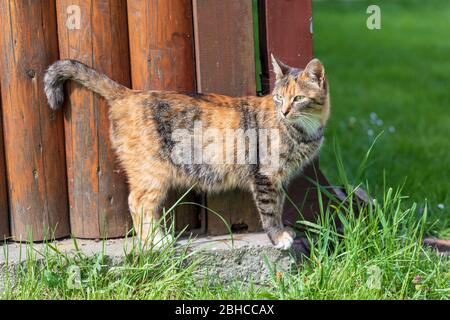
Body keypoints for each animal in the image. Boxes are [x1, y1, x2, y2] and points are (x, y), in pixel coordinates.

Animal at [44, 54, 330, 250]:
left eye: (298, 98)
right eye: (279, 97)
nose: (284, 111)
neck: (301, 130)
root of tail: (128, 94)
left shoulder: (279, 179)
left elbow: (279, 206)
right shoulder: (266, 176)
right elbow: (270, 211)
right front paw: (279, 237)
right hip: (152, 172)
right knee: (137, 203)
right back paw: (155, 242)